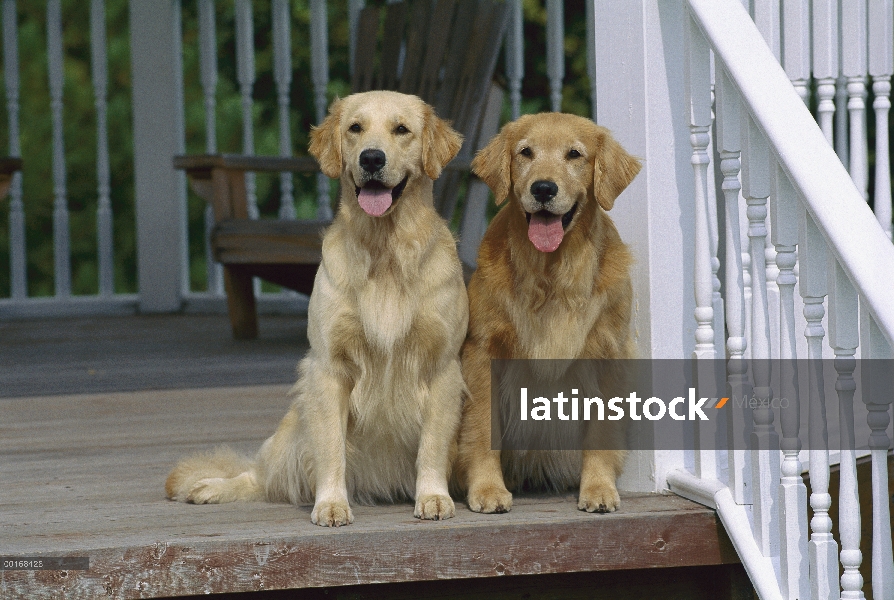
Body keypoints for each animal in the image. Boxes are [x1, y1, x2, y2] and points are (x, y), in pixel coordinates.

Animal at [165, 91, 468, 528]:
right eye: (355, 128)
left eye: (402, 129)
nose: (371, 158)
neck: (385, 252)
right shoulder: (328, 369)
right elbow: (331, 449)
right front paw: (331, 504)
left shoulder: (442, 367)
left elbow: (432, 445)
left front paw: (432, 497)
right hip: (292, 431)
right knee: (259, 475)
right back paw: (209, 487)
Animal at [458, 113, 640, 516]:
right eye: (525, 152)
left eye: (574, 154)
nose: (543, 188)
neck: (551, 275)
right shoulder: (482, 351)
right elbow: (481, 427)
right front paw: (487, 489)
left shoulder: (609, 352)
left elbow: (601, 431)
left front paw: (598, 488)